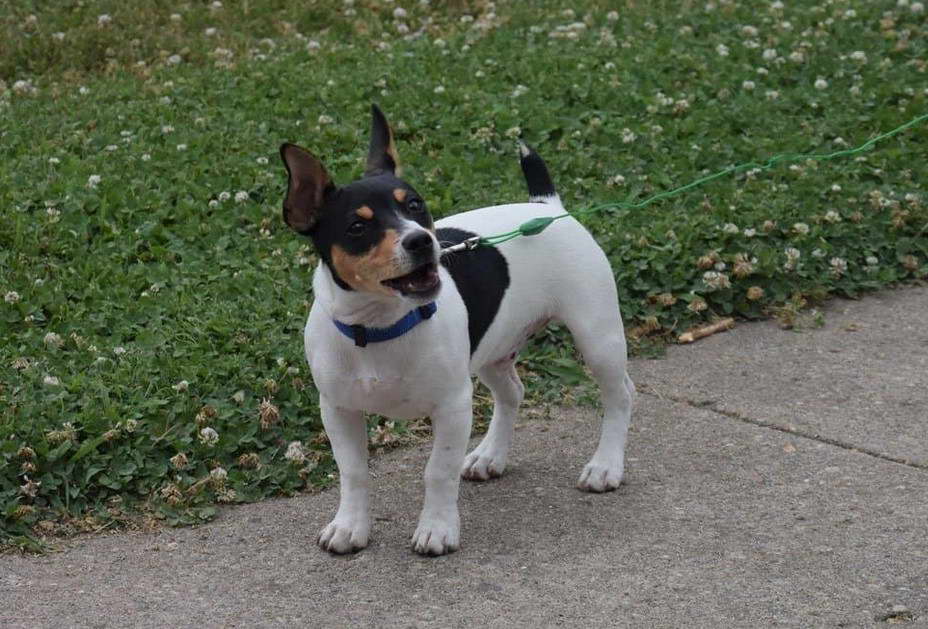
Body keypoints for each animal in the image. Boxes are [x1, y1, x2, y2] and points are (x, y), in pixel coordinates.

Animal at [280, 104, 636, 556]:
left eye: (416, 205)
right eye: (357, 227)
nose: (420, 241)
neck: (380, 327)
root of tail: (547, 206)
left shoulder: (452, 407)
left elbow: (437, 471)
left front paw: (437, 528)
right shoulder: (338, 409)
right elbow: (354, 473)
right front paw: (349, 526)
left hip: (596, 336)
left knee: (619, 394)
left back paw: (605, 465)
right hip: (493, 348)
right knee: (512, 392)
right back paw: (489, 456)